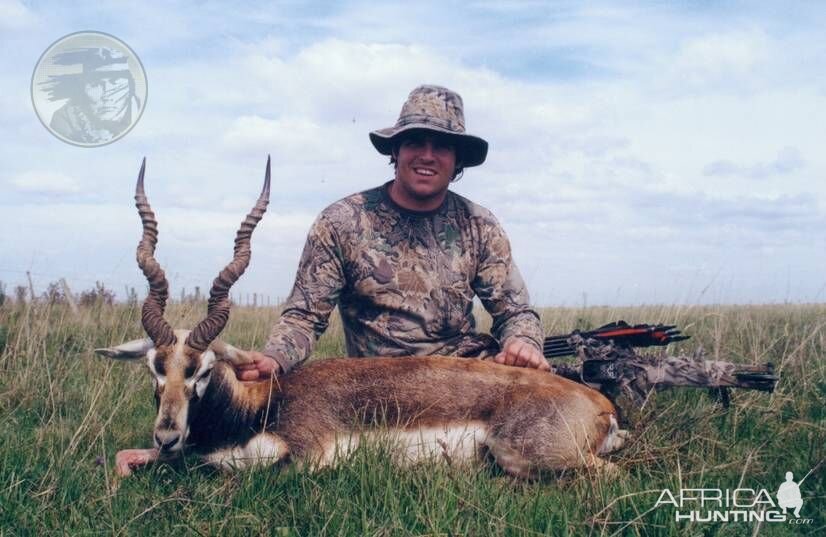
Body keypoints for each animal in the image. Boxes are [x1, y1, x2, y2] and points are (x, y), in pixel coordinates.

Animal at [96, 157, 624, 476]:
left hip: (522, 454)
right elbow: (128, 457)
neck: (256, 406)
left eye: (202, 370)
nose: (167, 433)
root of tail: (600, 404)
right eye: (155, 368)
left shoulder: (309, 459)